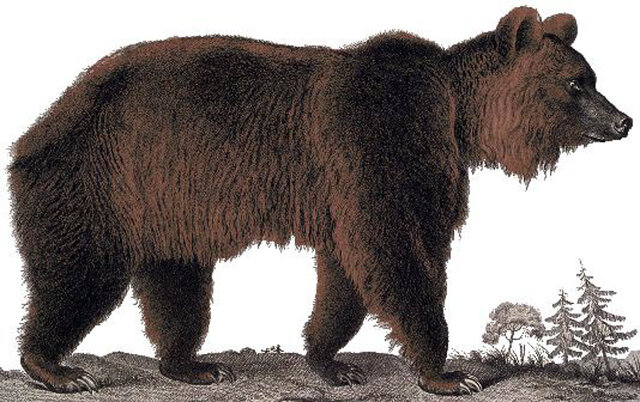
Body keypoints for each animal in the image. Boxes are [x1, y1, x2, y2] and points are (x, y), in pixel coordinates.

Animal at [8, 6, 632, 396]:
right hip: (97, 179)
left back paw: (194, 366)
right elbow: (397, 252)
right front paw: (449, 373)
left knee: (176, 280)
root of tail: (41, 123)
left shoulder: (355, 185)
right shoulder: (383, 143)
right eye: (577, 83)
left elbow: (346, 272)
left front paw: (330, 361)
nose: (624, 120)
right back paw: (56, 368)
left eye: (592, 76)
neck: (457, 115)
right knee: (80, 273)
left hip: (168, 201)